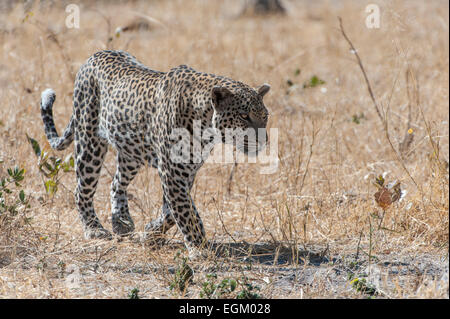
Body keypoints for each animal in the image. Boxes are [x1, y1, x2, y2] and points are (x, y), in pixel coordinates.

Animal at [38, 50, 268, 260]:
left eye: (265, 116)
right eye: (244, 116)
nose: (263, 140)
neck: (205, 122)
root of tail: (94, 55)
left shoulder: (186, 171)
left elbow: (173, 212)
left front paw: (151, 232)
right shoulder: (172, 172)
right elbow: (185, 211)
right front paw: (198, 247)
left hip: (131, 153)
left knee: (116, 183)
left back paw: (121, 222)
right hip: (89, 143)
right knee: (82, 189)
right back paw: (94, 229)